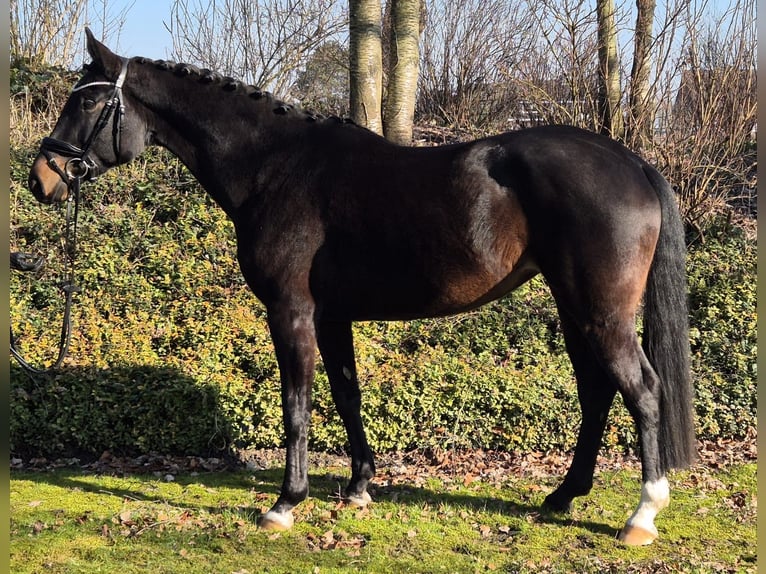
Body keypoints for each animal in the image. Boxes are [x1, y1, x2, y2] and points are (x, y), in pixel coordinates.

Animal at [28, 28, 696, 548]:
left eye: (89, 102)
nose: (42, 178)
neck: (275, 167)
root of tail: (631, 161)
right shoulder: (333, 318)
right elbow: (347, 395)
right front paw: (357, 489)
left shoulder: (291, 312)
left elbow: (297, 405)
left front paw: (285, 503)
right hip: (575, 308)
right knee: (597, 393)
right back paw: (562, 496)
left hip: (601, 313)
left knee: (643, 391)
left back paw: (642, 514)